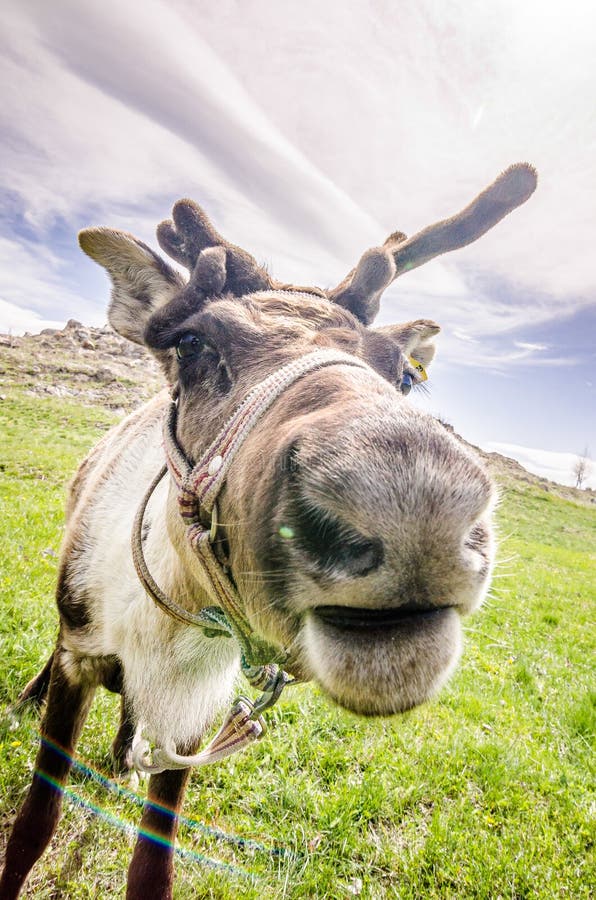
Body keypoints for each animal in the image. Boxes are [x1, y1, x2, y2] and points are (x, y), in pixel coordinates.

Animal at [0, 163, 537, 899]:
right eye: (191, 343)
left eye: (404, 374)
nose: (414, 506)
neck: (170, 622)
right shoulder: (82, 648)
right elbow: (35, 823)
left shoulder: (197, 714)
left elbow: (154, 862)